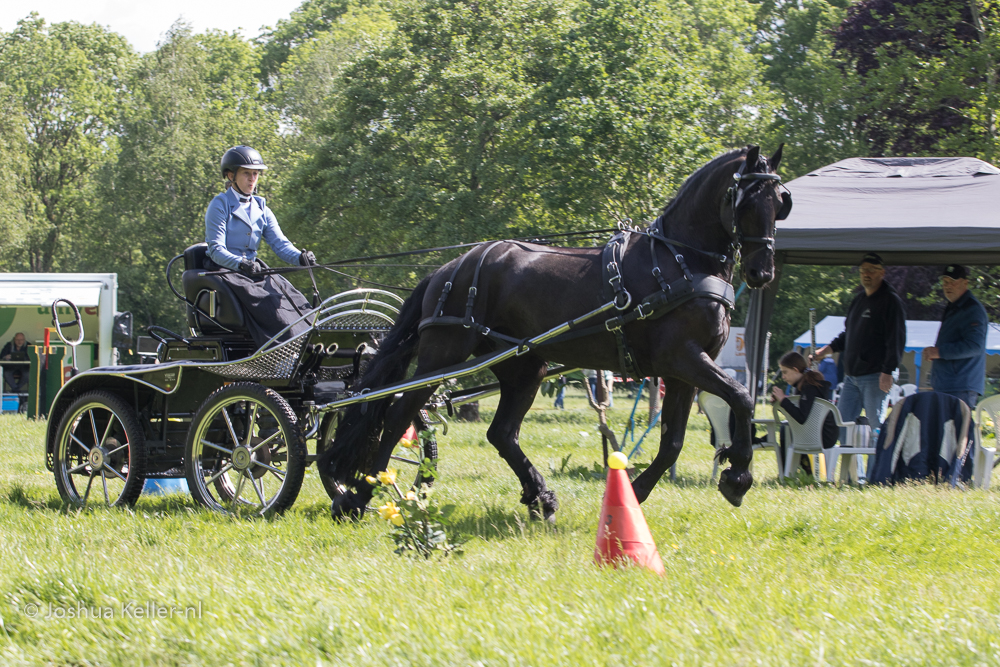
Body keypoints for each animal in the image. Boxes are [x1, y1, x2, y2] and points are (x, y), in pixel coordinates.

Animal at [320, 146, 788, 520]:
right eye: (747, 201)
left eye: (780, 202)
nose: (761, 272)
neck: (678, 261)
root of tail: (449, 268)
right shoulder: (683, 358)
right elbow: (742, 397)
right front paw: (738, 474)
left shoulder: (680, 371)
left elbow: (673, 441)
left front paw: (635, 494)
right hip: (444, 354)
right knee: (400, 413)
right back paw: (362, 493)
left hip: (524, 366)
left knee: (501, 433)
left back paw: (540, 496)